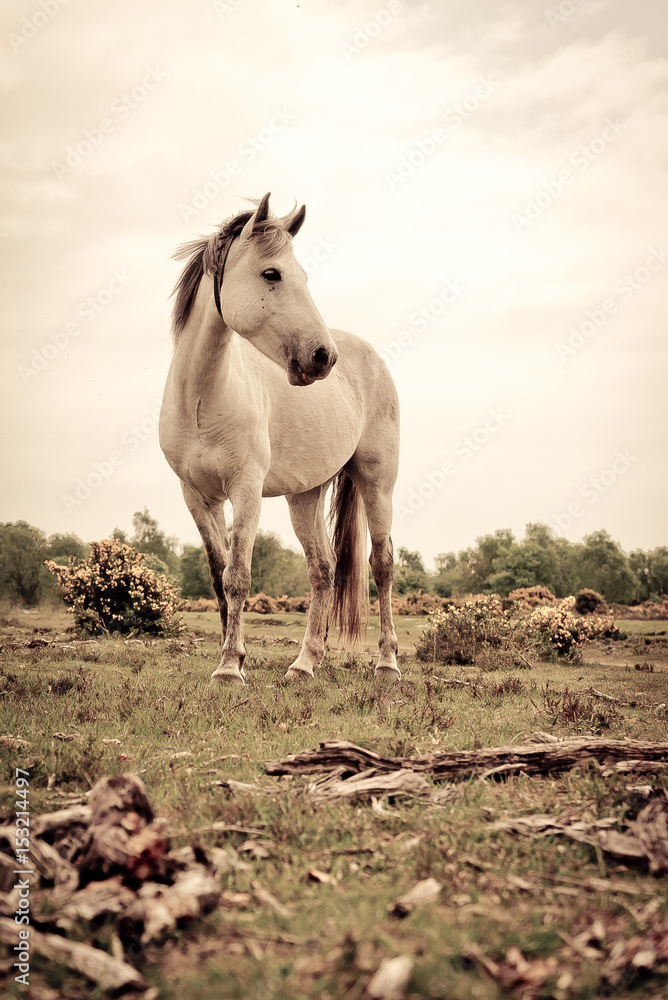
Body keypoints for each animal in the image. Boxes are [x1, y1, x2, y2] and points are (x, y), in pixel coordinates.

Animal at [159, 192, 400, 686]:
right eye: (272, 273)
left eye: (302, 275)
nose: (323, 356)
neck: (202, 399)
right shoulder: (197, 496)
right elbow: (219, 577)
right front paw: (234, 656)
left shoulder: (246, 490)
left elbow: (238, 577)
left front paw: (229, 668)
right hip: (304, 496)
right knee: (322, 570)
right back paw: (304, 664)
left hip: (377, 484)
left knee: (382, 566)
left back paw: (387, 663)